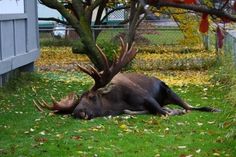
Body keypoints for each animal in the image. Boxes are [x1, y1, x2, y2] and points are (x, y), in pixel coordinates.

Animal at [34, 38, 220, 119]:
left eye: (92, 97)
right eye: (79, 100)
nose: (77, 112)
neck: (116, 103)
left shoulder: (147, 97)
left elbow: (162, 112)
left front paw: (174, 111)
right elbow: (137, 111)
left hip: (169, 90)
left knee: (190, 106)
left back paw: (211, 108)